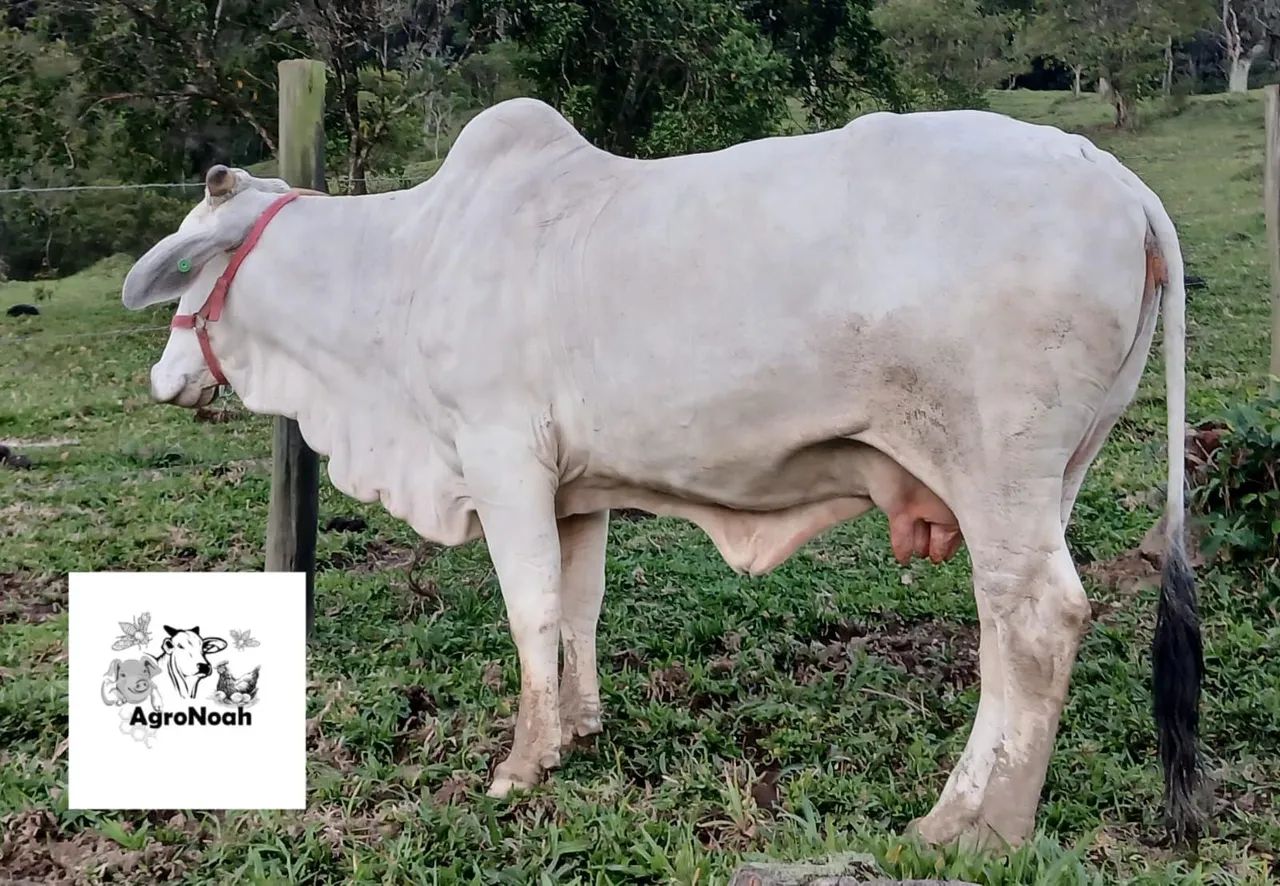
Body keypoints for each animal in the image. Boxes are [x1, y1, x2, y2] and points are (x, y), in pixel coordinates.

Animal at [121, 99, 1202, 847]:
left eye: (185, 276)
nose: (164, 376)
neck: (406, 269)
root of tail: (1117, 179)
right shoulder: (574, 493)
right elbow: (578, 610)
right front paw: (579, 730)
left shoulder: (503, 463)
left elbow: (531, 615)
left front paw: (519, 765)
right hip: (1050, 477)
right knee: (1010, 636)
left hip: (995, 469)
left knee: (1035, 623)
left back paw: (973, 826)